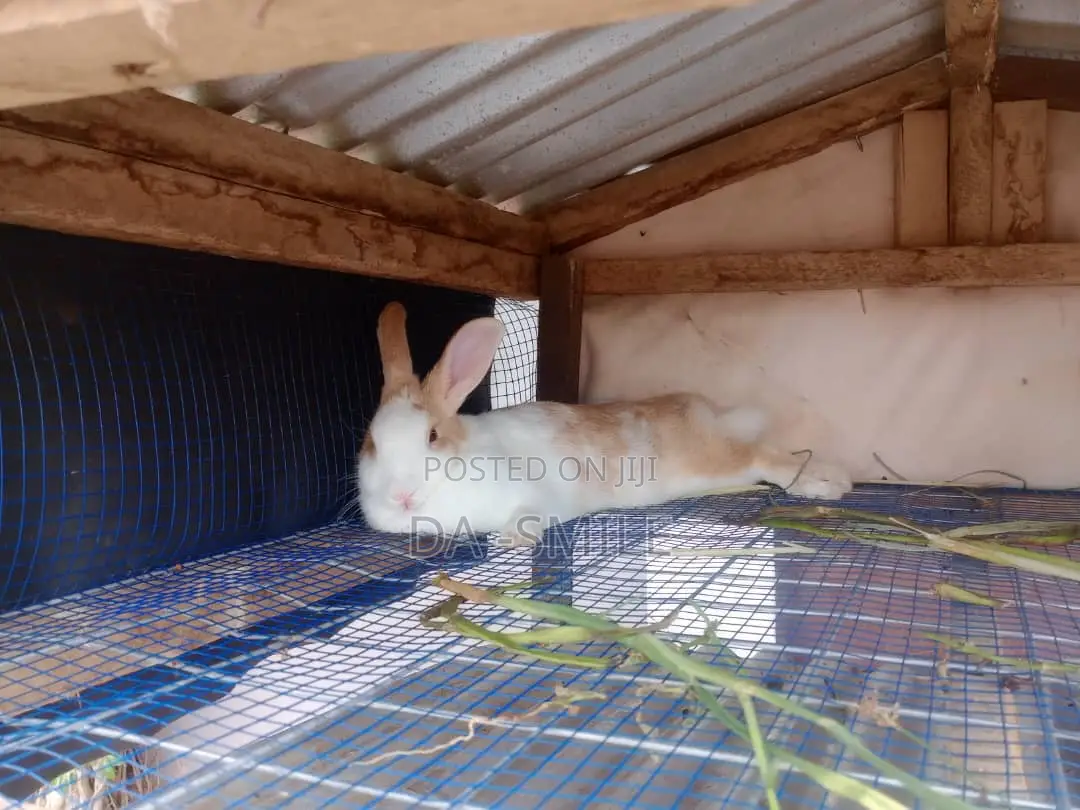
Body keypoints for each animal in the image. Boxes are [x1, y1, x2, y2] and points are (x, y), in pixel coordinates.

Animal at [356, 302, 852, 549]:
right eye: (371, 442)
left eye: (432, 436)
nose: (401, 496)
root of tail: (706, 410)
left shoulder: (532, 494)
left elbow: (528, 513)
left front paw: (513, 539)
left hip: (714, 461)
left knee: (763, 457)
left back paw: (829, 483)